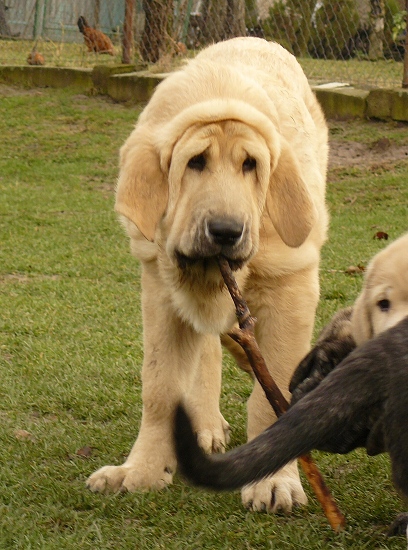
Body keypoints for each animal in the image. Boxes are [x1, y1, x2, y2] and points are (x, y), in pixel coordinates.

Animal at [85, 36, 328, 516]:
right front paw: (142, 471)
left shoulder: (290, 288)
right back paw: (206, 425)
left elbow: (272, 395)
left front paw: (273, 480)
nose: (226, 231)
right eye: (195, 162)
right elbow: (160, 388)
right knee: (209, 349)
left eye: (251, 164)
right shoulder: (160, 293)